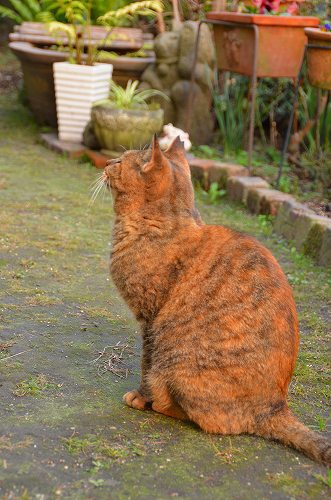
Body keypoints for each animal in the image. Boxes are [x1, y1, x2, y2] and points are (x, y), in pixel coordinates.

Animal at [103, 134, 330, 464]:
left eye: (120, 161)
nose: (107, 161)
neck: (159, 226)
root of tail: (276, 407)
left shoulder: (149, 320)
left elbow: (145, 366)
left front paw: (140, 397)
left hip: (174, 363)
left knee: (205, 419)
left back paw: (158, 404)